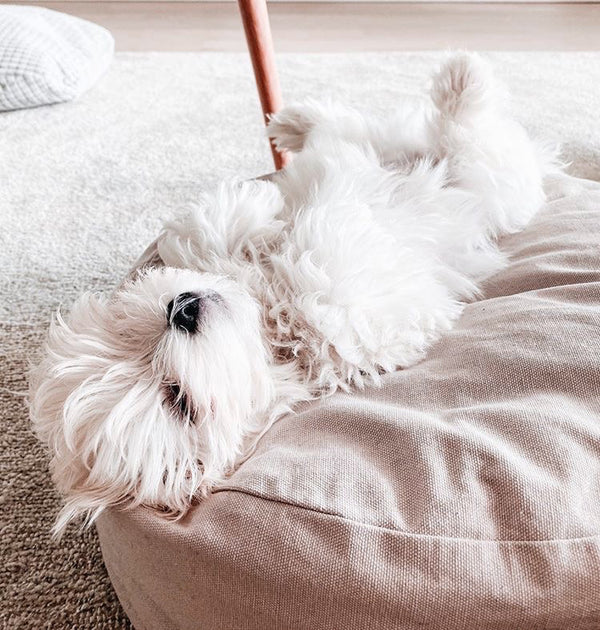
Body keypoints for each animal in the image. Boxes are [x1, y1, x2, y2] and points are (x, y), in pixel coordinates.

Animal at [27, 55, 552, 540]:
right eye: (179, 401)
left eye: (134, 333)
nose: (183, 310)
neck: (266, 327)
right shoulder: (347, 330)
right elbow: (322, 280)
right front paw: (300, 252)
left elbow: (210, 230)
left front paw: (257, 227)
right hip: (496, 182)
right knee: (464, 136)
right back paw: (457, 86)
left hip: (432, 158)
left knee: (364, 131)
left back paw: (301, 122)